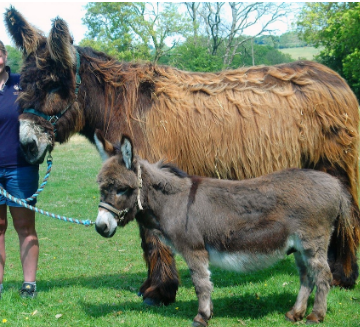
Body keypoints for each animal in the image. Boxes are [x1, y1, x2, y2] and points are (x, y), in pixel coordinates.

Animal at [93, 132, 354, 326]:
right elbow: (206, 282)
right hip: (298, 247)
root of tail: (336, 185)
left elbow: (201, 284)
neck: (174, 201)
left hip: (312, 242)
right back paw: (295, 313)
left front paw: (201, 317)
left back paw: (315, 315)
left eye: (121, 189)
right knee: (306, 276)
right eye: (102, 188)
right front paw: (208, 312)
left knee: (323, 275)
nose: (100, 227)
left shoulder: (194, 249)